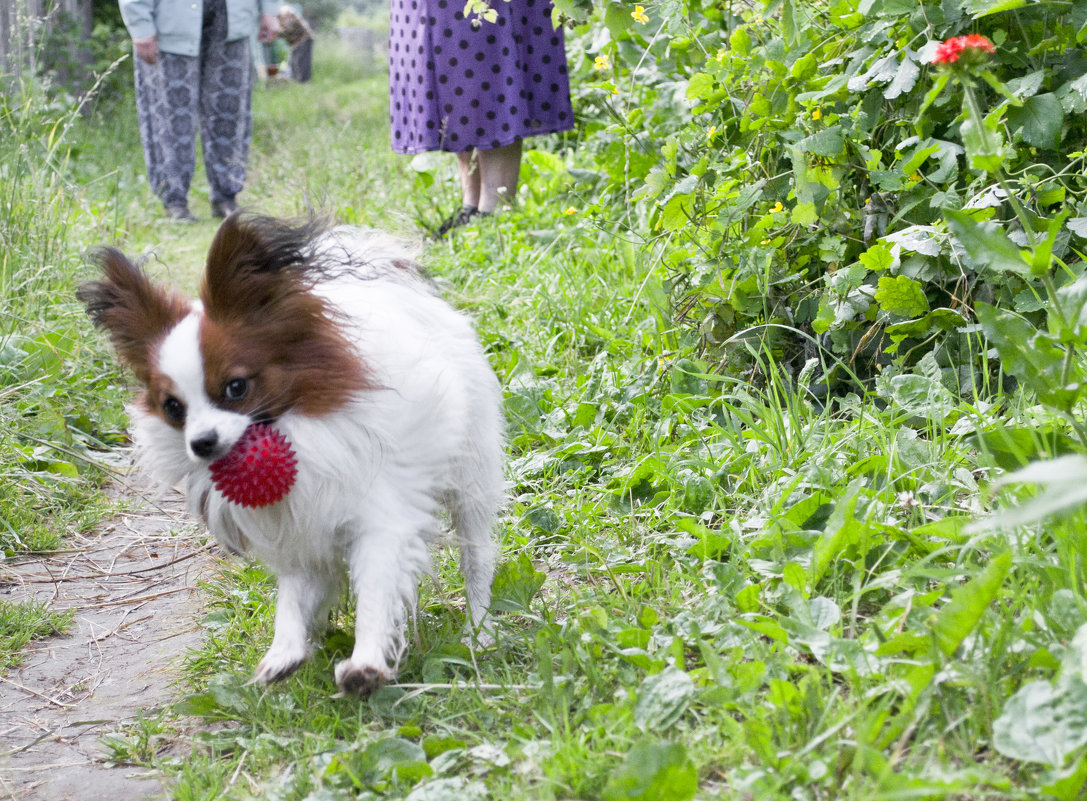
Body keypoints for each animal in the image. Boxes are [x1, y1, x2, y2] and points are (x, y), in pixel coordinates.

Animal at [79, 214, 504, 695]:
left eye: (236, 387)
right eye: (173, 407)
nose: (202, 443)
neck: (300, 434)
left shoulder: (381, 522)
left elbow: (375, 595)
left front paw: (366, 663)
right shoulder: (300, 535)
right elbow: (292, 599)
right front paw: (285, 651)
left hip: (471, 480)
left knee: (476, 561)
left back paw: (479, 632)